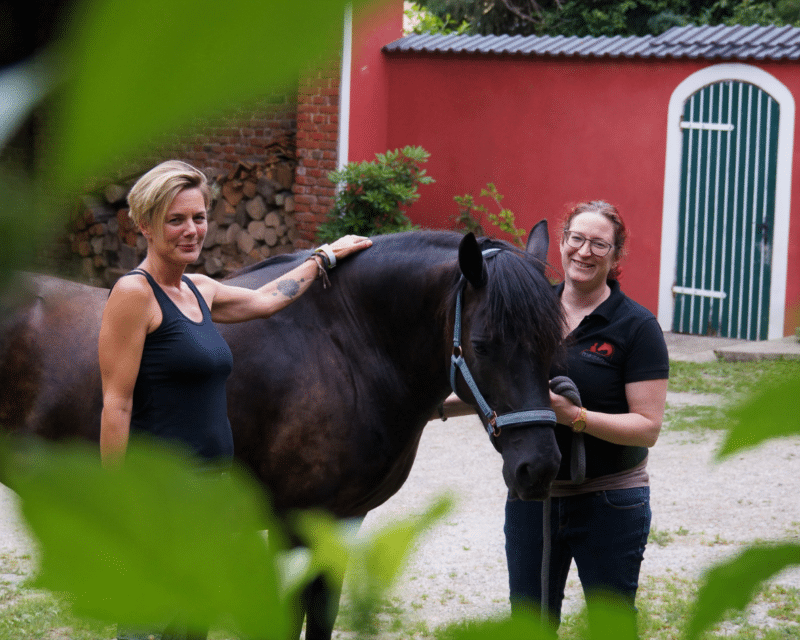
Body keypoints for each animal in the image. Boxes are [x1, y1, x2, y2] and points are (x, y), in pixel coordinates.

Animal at [0, 223, 565, 639]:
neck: (347, 346)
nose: (539, 467)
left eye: (553, 341)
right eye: (484, 344)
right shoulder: (292, 525)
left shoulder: (342, 522)